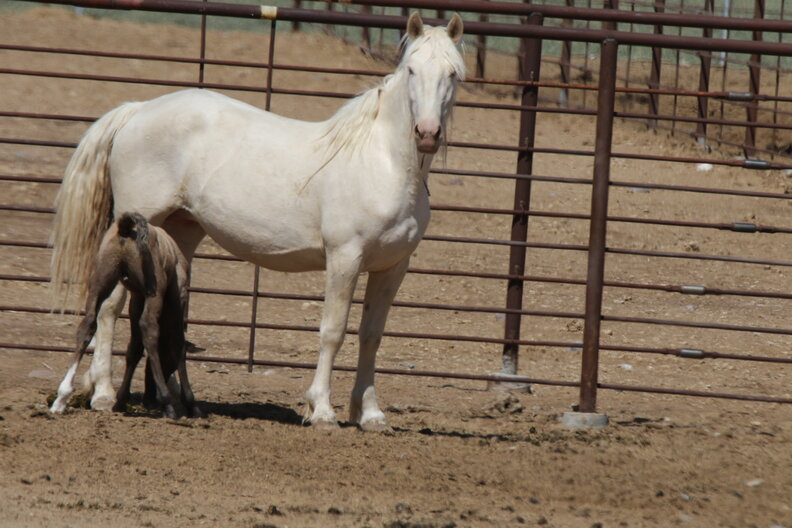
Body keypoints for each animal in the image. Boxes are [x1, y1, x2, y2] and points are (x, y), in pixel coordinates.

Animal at [50, 212, 204, 418]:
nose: (149, 397)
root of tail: (126, 227)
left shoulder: (137, 298)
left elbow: (134, 348)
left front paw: (121, 400)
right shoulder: (177, 296)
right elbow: (177, 345)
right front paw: (190, 404)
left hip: (101, 280)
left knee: (87, 324)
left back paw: (61, 397)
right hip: (154, 291)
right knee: (149, 328)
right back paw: (167, 403)